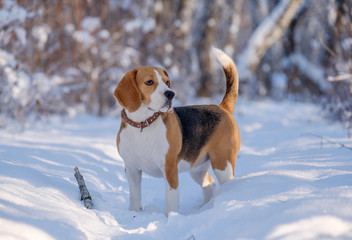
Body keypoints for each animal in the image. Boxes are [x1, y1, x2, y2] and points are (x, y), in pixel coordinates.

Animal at [114, 47, 241, 216]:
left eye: (167, 82)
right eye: (149, 82)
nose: (170, 94)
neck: (143, 124)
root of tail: (222, 108)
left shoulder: (170, 170)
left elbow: (171, 203)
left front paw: (170, 219)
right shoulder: (132, 168)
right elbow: (135, 198)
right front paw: (135, 214)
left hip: (222, 164)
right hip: (197, 168)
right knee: (209, 184)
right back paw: (204, 208)